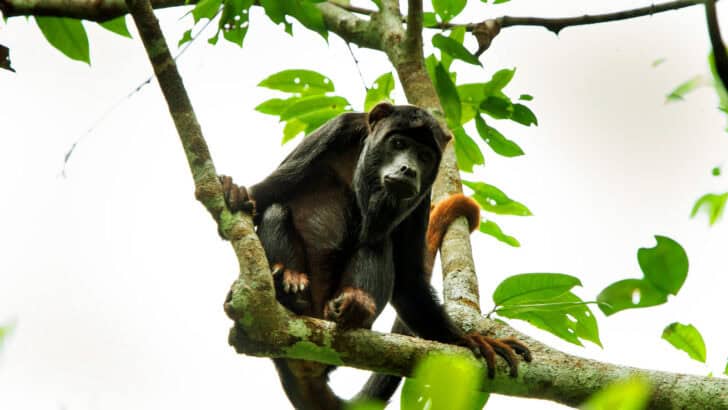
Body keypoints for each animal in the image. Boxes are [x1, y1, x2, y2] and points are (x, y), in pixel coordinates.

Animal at [220, 103, 531, 409]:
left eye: (425, 156)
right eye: (398, 143)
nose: (408, 169)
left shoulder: (424, 195)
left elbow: (408, 280)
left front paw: (468, 339)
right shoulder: (334, 131)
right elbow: (263, 197)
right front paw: (235, 193)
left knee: (379, 245)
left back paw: (357, 304)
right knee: (277, 210)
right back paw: (289, 283)